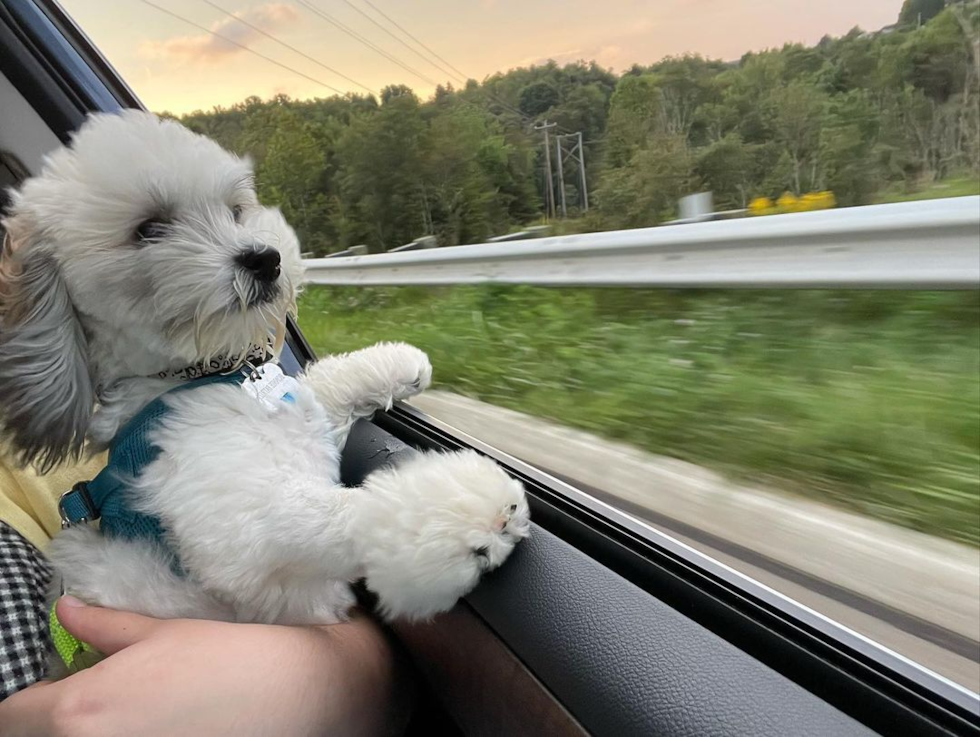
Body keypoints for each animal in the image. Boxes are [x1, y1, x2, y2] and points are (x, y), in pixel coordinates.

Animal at [0, 112, 528, 628]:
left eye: (235, 211)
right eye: (149, 229)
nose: (264, 258)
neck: (198, 377)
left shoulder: (303, 418)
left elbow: (326, 386)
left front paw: (399, 364)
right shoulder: (238, 521)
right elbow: (345, 515)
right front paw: (473, 512)